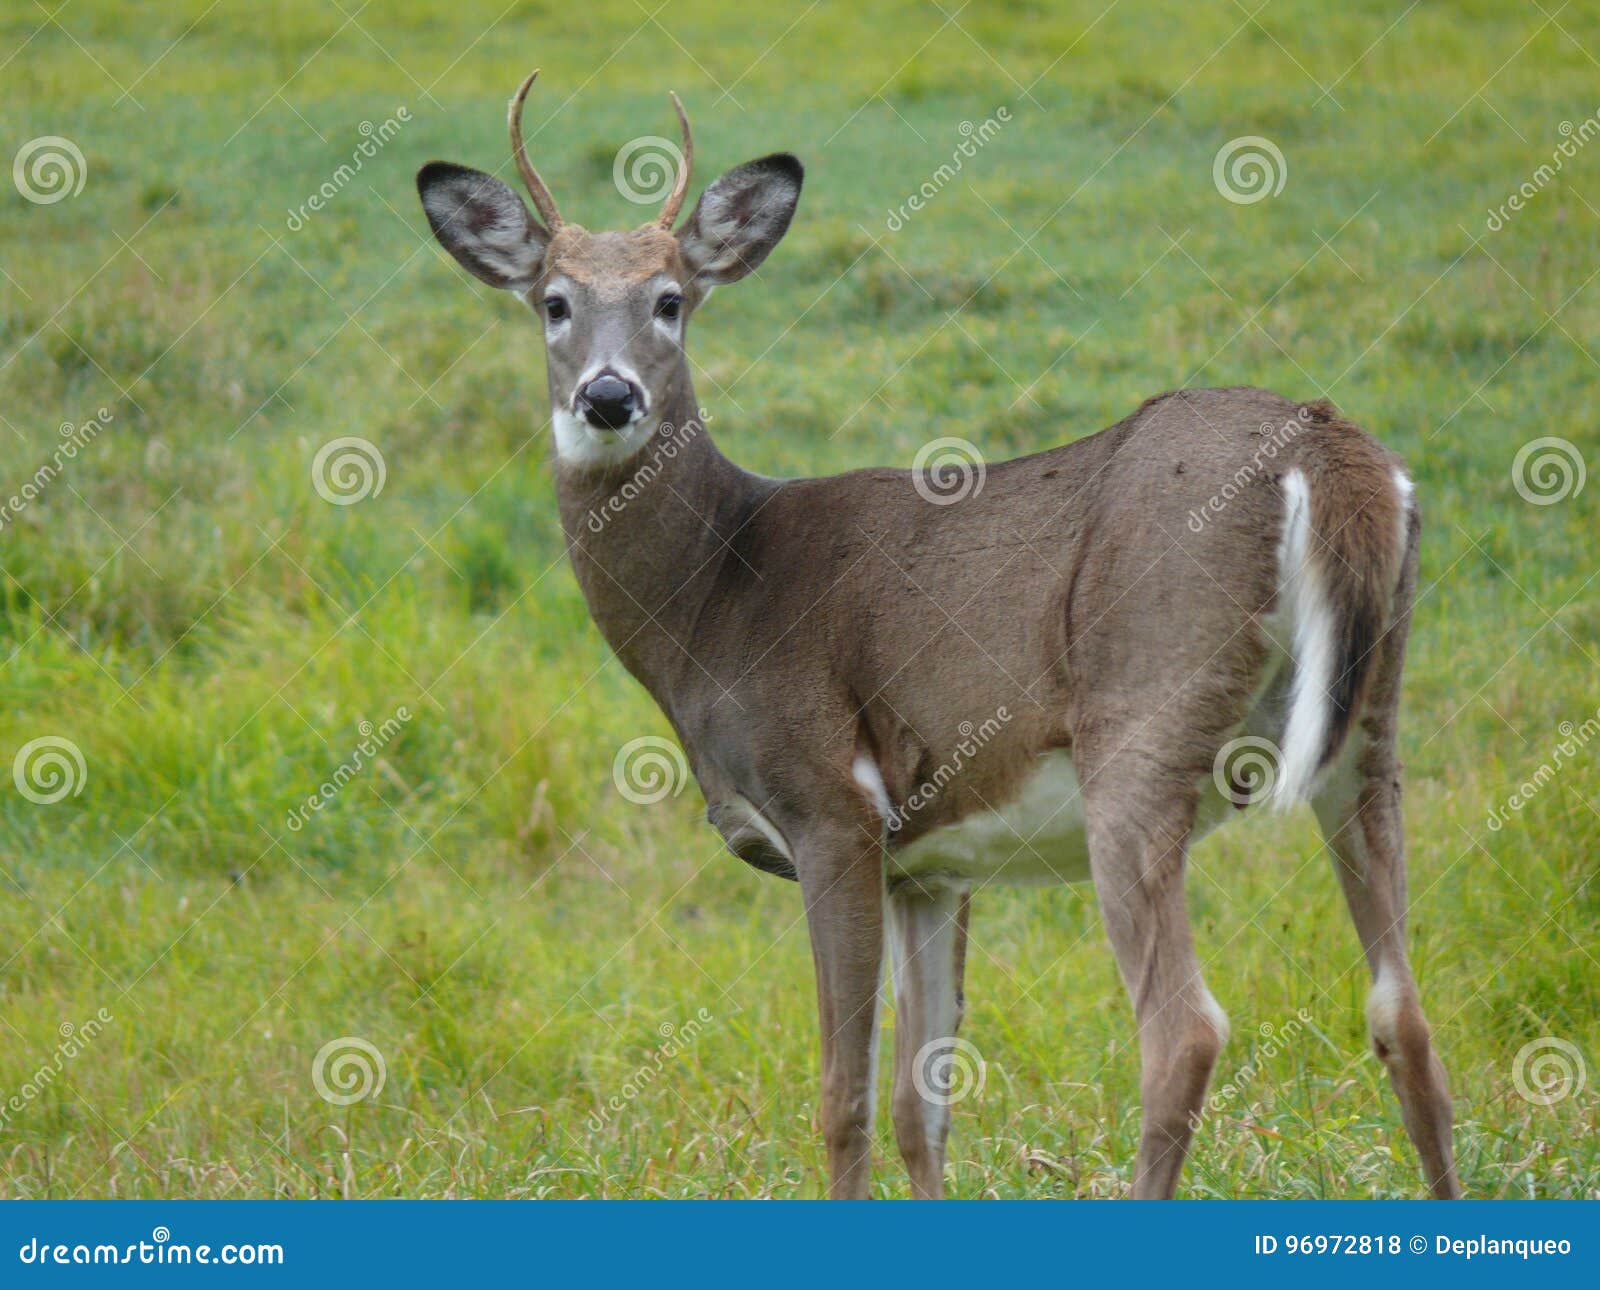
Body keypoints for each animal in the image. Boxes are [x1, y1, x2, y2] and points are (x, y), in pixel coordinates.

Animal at [416, 71, 1463, 1200]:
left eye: (671, 300)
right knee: (1402, 1011)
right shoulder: (930, 863)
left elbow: (843, 1100)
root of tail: (1333, 453)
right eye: (554, 303)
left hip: (1144, 720)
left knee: (1182, 1030)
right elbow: (923, 1107)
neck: (719, 596)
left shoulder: (830, 807)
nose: (609, 394)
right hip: (1370, 726)